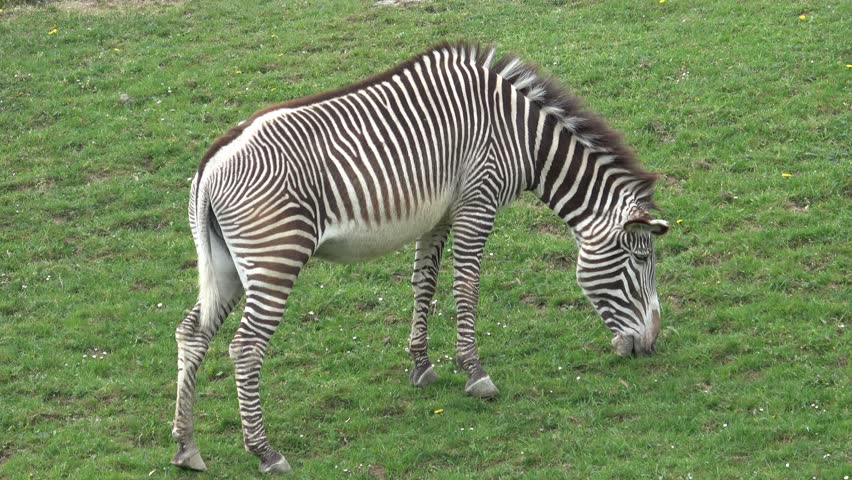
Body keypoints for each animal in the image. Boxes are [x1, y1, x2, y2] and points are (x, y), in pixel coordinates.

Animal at [170, 43, 670, 473]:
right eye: (640, 260)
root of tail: (208, 167)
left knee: (191, 333)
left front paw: (421, 365)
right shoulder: (477, 202)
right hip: (275, 259)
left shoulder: (439, 215)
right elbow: (466, 286)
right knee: (245, 347)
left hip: (228, 266)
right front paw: (475, 373)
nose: (650, 345)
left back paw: (186, 447)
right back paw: (265, 452)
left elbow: (424, 284)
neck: (519, 132)